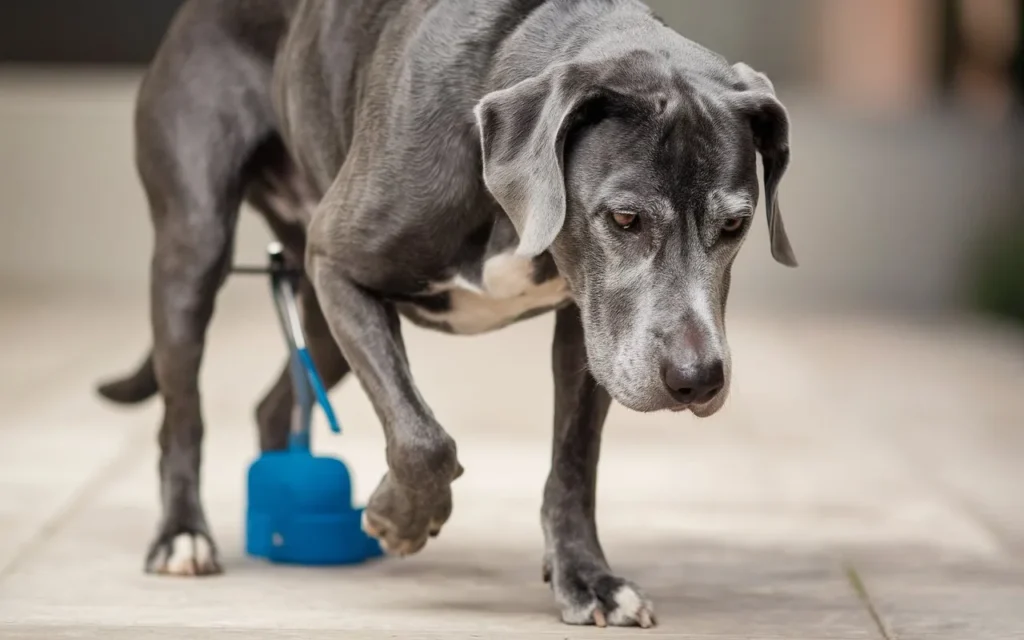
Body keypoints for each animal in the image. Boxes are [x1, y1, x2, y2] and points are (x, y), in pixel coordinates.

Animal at [97, 0, 798, 630]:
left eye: (734, 225)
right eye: (625, 217)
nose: (696, 379)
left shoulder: (590, 333)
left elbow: (573, 462)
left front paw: (585, 577)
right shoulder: (337, 264)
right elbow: (423, 439)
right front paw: (399, 518)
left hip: (318, 316)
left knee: (275, 403)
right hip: (195, 251)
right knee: (181, 416)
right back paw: (183, 535)